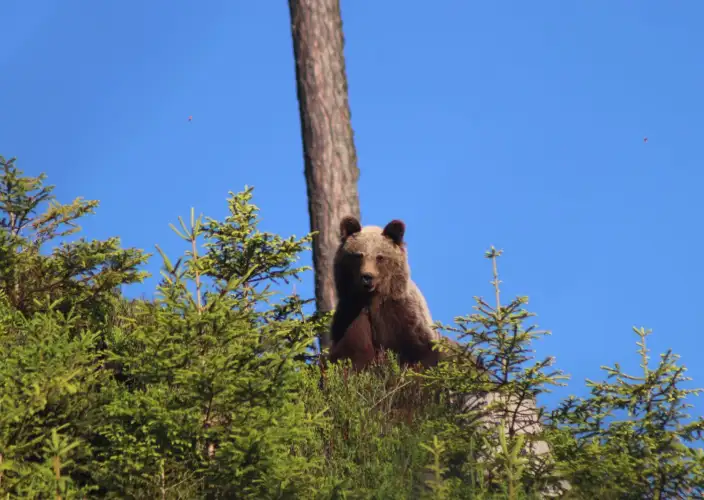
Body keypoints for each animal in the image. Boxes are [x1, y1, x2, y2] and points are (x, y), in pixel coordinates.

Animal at [327, 215, 444, 370]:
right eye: (358, 255)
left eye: (380, 257)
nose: (367, 276)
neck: (371, 299)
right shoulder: (349, 315)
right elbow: (347, 355)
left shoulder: (402, 315)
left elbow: (419, 352)